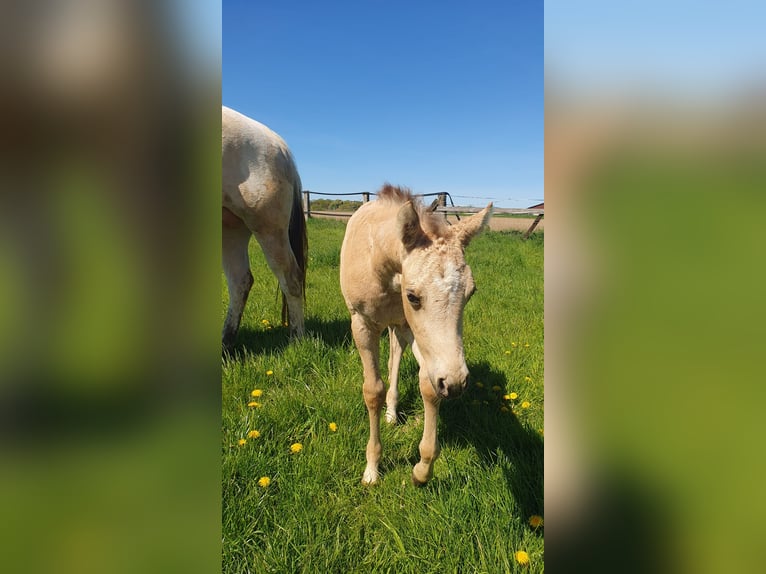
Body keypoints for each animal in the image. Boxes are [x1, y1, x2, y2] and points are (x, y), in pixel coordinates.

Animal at [221, 106, 308, 350]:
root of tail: (278, 145)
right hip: (231, 228)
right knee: (240, 281)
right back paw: (226, 344)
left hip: (268, 227)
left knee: (291, 278)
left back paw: (297, 340)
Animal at [340, 184, 492, 485]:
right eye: (412, 296)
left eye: (471, 292)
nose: (457, 384)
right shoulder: (361, 324)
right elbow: (372, 390)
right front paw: (372, 469)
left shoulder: (416, 334)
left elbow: (429, 385)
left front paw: (422, 470)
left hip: (402, 326)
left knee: (396, 355)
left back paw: (392, 410)